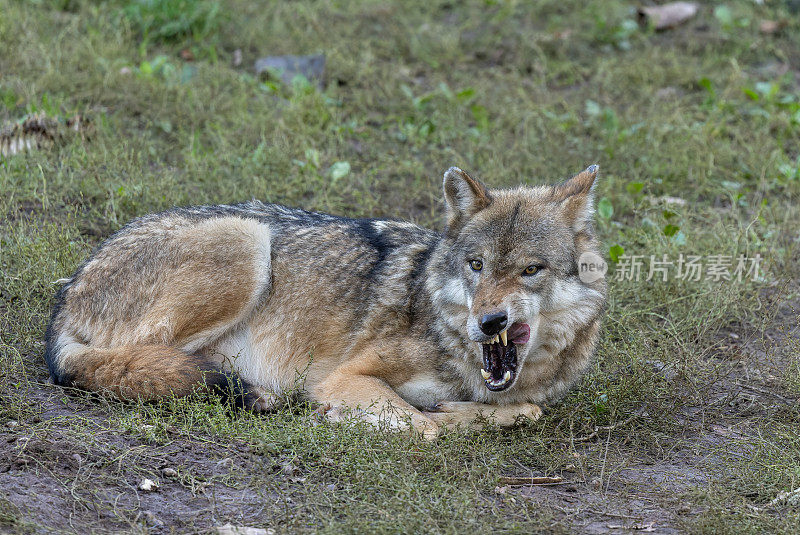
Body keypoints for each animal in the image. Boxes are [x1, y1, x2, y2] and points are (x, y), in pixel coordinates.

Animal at [43, 166, 608, 440]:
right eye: (477, 266)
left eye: (530, 270)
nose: (489, 321)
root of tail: (70, 289)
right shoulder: (344, 377)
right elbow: (426, 427)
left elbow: (529, 410)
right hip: (248, 243)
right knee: (132, 362)